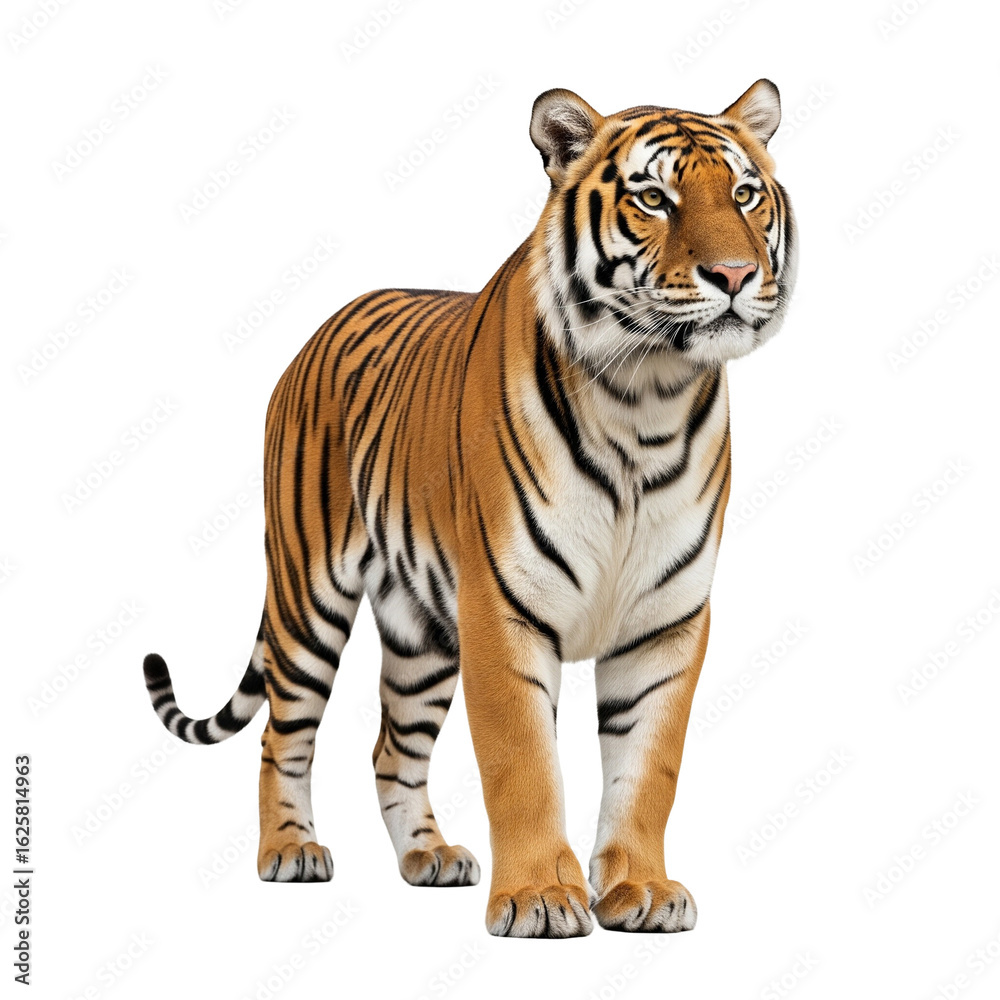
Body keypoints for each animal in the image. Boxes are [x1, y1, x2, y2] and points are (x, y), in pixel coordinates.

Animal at [143, 79, 797, 938]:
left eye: (745, 194)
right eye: (654, 198)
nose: (734, 273)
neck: (646, 399)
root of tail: (321, 328)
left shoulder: (667, 622)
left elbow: (648, 768)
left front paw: (641, 890)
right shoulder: (503, 608)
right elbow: (523, 762)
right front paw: (539, 897)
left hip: (420, 631)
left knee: (391, 748)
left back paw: (430, 857)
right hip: (308, 593)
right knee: (284, 735)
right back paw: (289, 850)